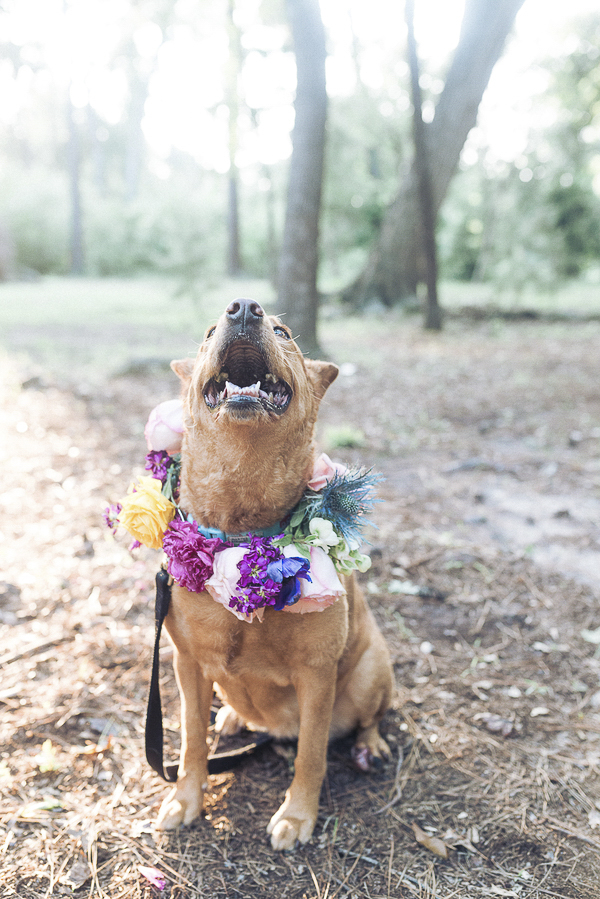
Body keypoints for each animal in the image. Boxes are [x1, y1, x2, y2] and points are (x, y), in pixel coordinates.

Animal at [155, 300, 394, 852]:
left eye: (283, 331)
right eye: (208, 332)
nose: (244, 307)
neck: (243, 532)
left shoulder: (317, 672)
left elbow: (311, 753)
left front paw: (298, 815)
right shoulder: (187, 662)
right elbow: (192, 740)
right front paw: (186, 799)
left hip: (372, 668)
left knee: (372, 716)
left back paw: (371, 744)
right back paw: (232, 717)